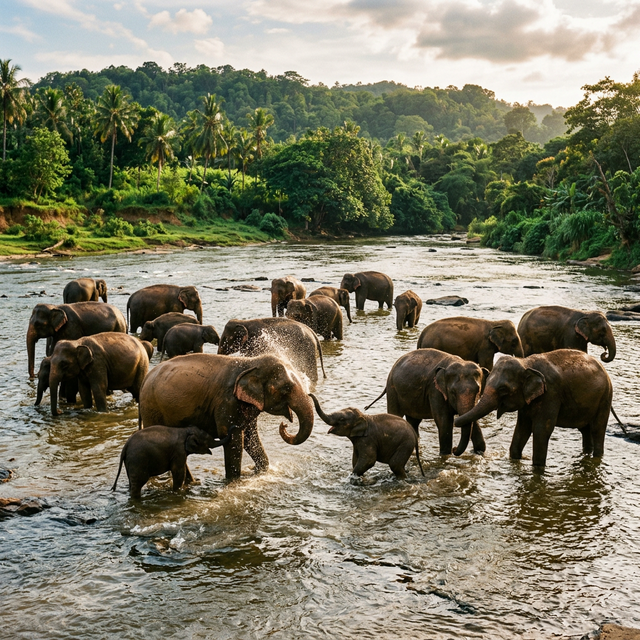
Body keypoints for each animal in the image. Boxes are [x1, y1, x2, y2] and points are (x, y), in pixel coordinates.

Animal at [138, 353, 315, 480]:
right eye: (286, 388)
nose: (284, 425)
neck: (251, 363)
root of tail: (145, 379)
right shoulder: (227, 401)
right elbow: (234, 439)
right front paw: (234, 481)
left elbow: (250, 437)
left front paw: (258, 472)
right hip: (152, 409)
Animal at [455, 349, 613, 467]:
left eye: (503, 389)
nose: (454, 449)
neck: (526, 363)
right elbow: (522, 427)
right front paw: (515, 459)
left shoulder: (551, 394)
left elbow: (541, 430)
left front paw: (537, 468)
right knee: (585, 430)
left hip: (605, 398)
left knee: (597, 428)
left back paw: (597, 455)